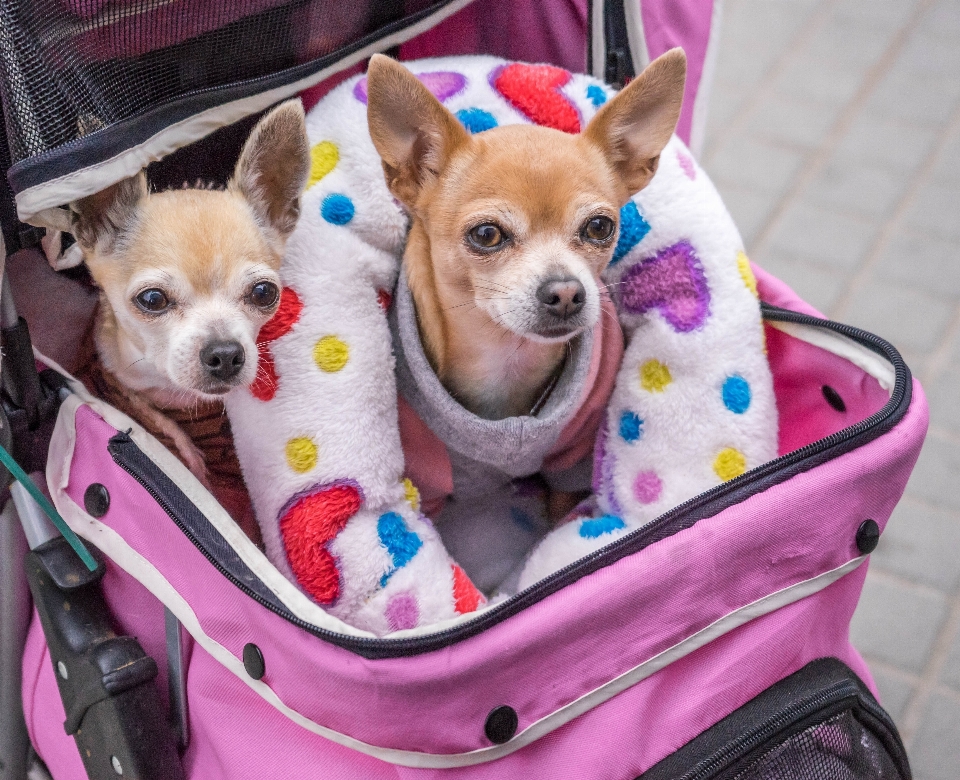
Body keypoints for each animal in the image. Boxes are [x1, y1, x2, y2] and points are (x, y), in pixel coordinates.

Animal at [71, 102, 312, 516]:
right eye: (152, 300)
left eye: (264, 293)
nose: (226, 353)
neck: (175, 392)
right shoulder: (119, 382)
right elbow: (157, 421)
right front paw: (190, 458)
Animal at [364, 51, 688, 528]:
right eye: (486, 234)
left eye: (599, 227)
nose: (567, 292)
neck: (507, 359)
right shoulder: (427, 481)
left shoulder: (571, 461)